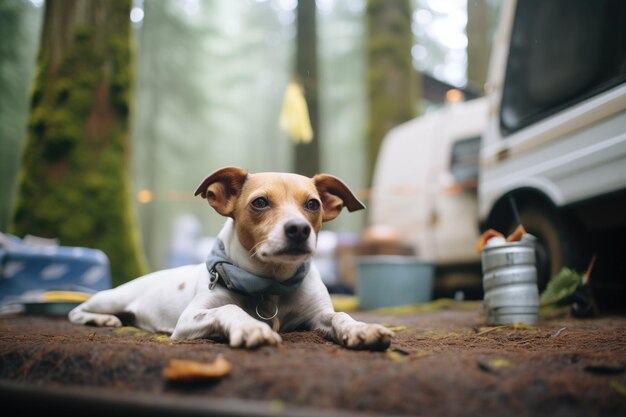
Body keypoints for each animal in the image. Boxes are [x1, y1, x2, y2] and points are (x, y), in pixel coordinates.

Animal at [68, 167, 390, 350]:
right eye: (260, 202)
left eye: (313, 204)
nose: (299, 229)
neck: (270, 285)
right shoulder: (190, 318)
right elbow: (229, 309)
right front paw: (250, 326)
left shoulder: (317, 316)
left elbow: (340, 316)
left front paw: (361, 329)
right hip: (111, 298)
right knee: (77, 310)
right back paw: (102, 319)